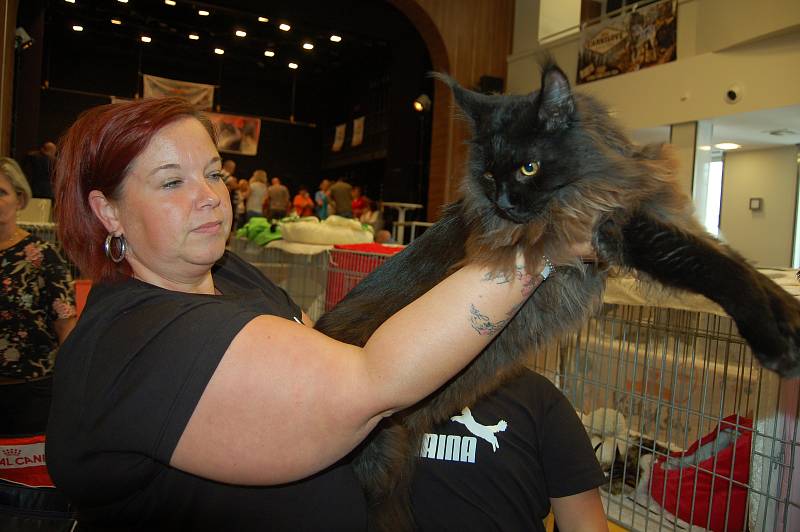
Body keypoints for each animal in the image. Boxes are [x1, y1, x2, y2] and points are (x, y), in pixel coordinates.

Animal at [312, 60, 800, 528]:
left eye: (528, 167)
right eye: (488, 173)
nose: (504, 203)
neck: (596, 170)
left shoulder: (651, 216)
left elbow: (743, 266)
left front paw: (788, 313)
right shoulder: (621, 231)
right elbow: (720, 272)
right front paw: (773, 343)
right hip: (381, 474)